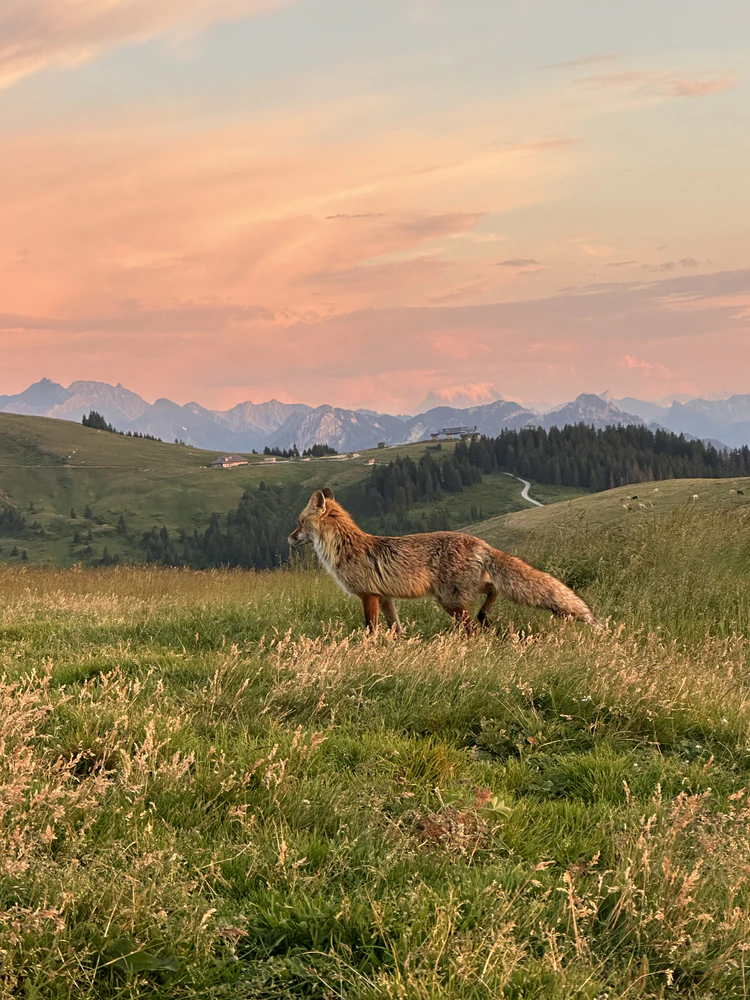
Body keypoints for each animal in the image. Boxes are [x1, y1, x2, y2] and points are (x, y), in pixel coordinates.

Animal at [288, 487, 598, 634]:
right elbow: (395, 629)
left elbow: (370, 630)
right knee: (493, 591)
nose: (289, 538)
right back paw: (485, 614)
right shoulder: (385, 597)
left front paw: (369, 649)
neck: (345, 547)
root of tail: (481, 543)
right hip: (461, 593)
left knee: (473, 629)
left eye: (299, 523)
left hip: (449, 601)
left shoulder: (369, 595)